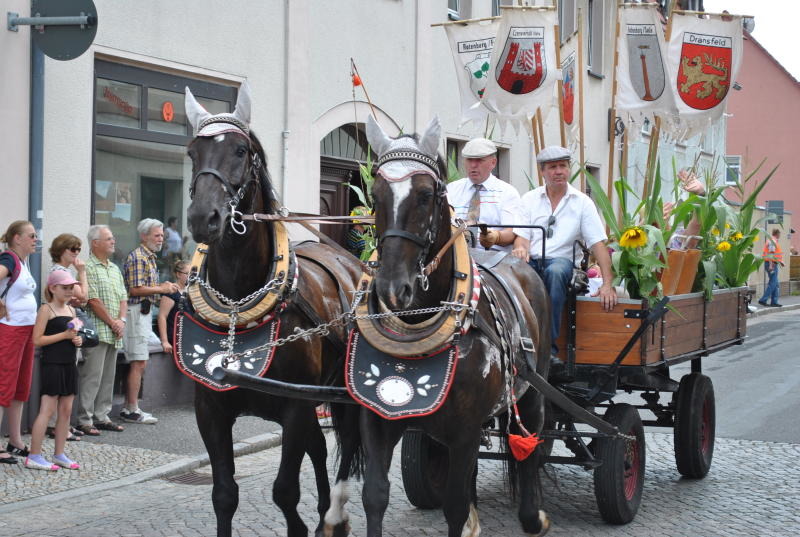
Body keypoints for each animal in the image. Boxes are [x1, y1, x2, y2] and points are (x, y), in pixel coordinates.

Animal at [183, 84, 360, 536]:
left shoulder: (295, 407)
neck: (237, 309)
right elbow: (224, 494)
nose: (204, 217)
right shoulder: (210, 409)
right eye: (193, 151)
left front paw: (304, 524)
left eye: (241, 150)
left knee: (348, 446)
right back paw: (325, 513)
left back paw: (336, 516)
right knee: (320, 446)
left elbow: (284, 491)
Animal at [360, 115, 552, 532]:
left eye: (425, 195)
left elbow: (454, 505)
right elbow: (374, 496)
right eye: (376, 194)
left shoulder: (465, 431)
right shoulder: (379, 420)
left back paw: (533, 516)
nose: (392, 287)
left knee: (530, 445)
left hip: (533, 391)